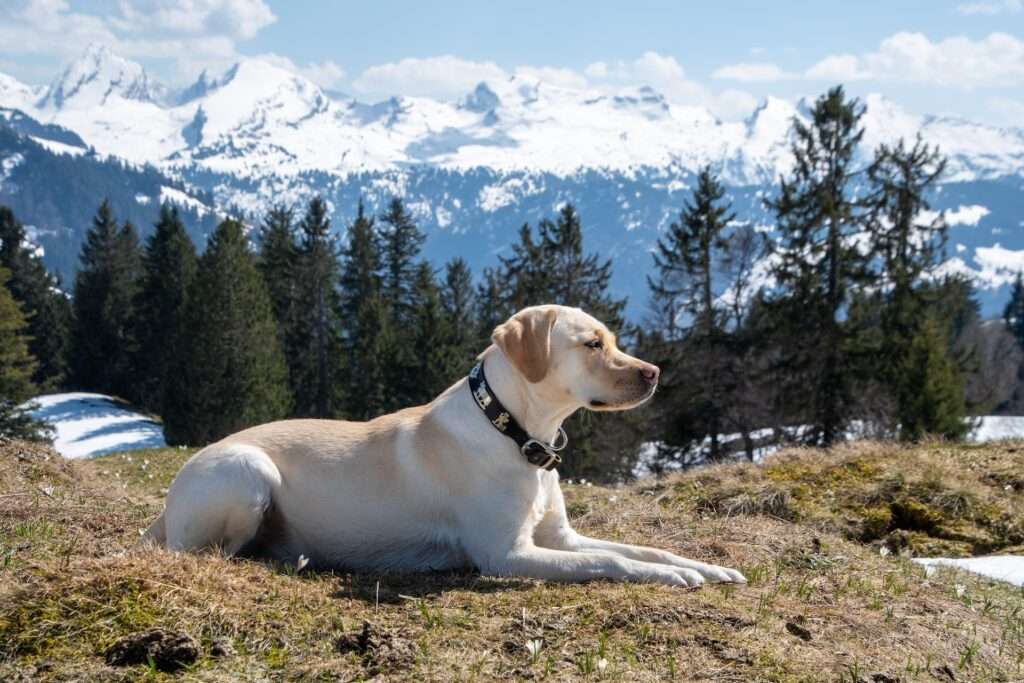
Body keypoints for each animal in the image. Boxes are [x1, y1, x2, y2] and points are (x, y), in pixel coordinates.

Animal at [142, 305, 745, 589]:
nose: (654, 373)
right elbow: (611, 561)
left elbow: (643, 549)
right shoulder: (508, 555)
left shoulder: (560, 538)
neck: (515, 432)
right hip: (247, 473)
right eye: (593, 344)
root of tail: (164, 507)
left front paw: (703, 567)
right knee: (208, 552)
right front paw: (671, 578)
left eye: (614, 340)